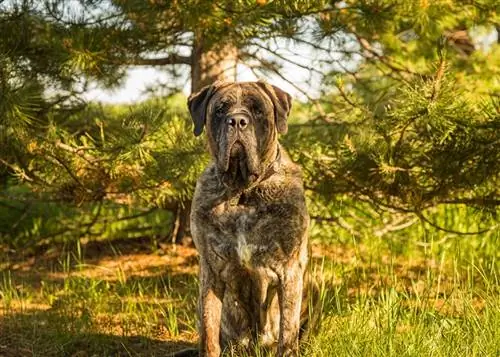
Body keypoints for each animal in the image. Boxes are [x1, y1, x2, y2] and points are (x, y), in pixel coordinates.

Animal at [186, 80, 308, 356]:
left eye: (257, 109)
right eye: (220, 110)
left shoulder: (289, 270)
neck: (242, 191)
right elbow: (208, 332)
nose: (238, 121)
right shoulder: (211, 270)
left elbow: (287, 329)